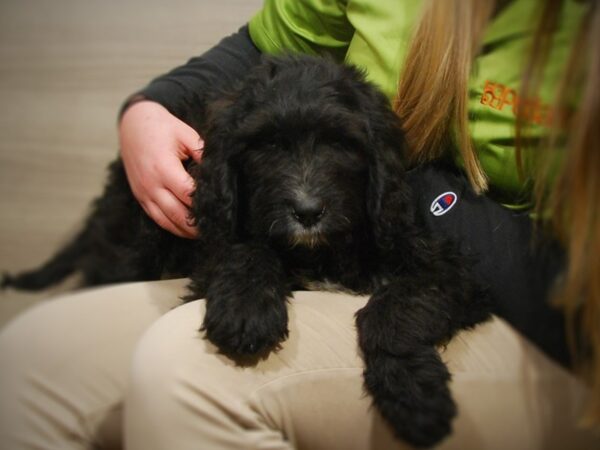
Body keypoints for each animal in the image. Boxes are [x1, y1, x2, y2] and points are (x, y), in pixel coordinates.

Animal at [4, 55, 490, 446]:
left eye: (340, 143)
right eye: (268, 145)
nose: (307, 211)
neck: (318, 251)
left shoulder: (442, 267)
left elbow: (393, 309)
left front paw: (415, 395)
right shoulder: (215, 230)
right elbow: (248, 251)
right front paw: (246, 311)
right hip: (134, 243)